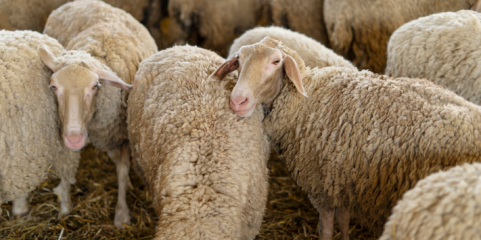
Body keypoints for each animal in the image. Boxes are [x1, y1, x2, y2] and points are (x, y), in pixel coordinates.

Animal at [41, 0, 158, 229]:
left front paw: (121, 215)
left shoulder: (122, 134)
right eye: (53, 87)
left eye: (95, 86)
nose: (75, 138)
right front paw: (65, 203)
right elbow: (68, 163)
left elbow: (122, 170)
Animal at [211, 36, 481, 239]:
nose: (238, 101)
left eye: (276, 61)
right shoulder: (342, 178)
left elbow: (326, 228)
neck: (305, 100)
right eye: (239, 61)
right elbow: (343, 219)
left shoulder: (322, 185)